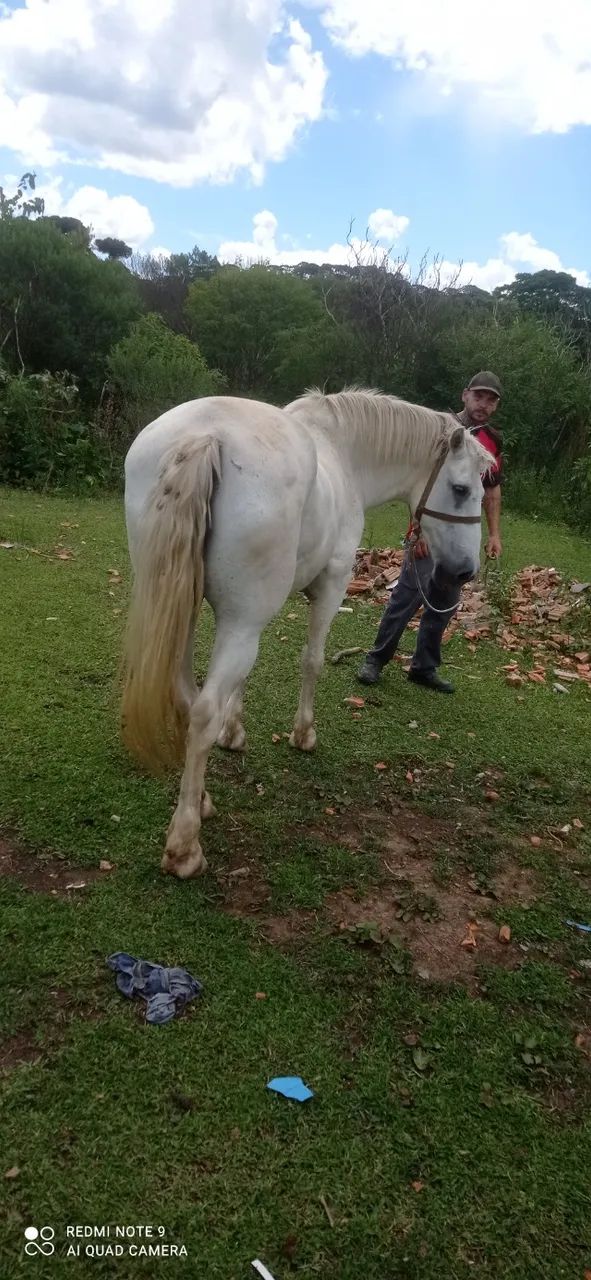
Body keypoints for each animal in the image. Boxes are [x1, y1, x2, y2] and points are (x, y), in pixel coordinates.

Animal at [121, 388, 492, 878]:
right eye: (462, 489)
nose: (466, 570)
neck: (343, 450)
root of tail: (205, 436)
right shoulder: (330, 586)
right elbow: (312, 661)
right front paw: (303, 734)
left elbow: (242, 679)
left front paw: (234, 733)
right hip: (237, 620)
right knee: (201, 711)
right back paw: (185, 844)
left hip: (181, 606)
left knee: (185, 694)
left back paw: (201, 800)